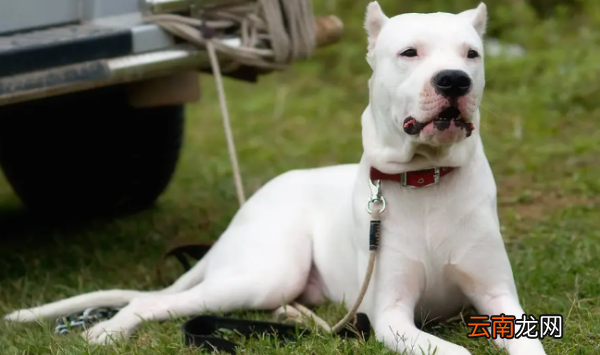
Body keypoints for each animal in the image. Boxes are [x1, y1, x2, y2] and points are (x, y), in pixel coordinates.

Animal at [5, 3, 548, 355]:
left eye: (472, 54)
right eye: (410, 53)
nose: (454, 81)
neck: (426, 177)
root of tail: (256, 198)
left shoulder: (500, 300)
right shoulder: (392, 315)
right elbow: (454, 351)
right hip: (264, 274)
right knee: (159, 303)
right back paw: (110, 331)